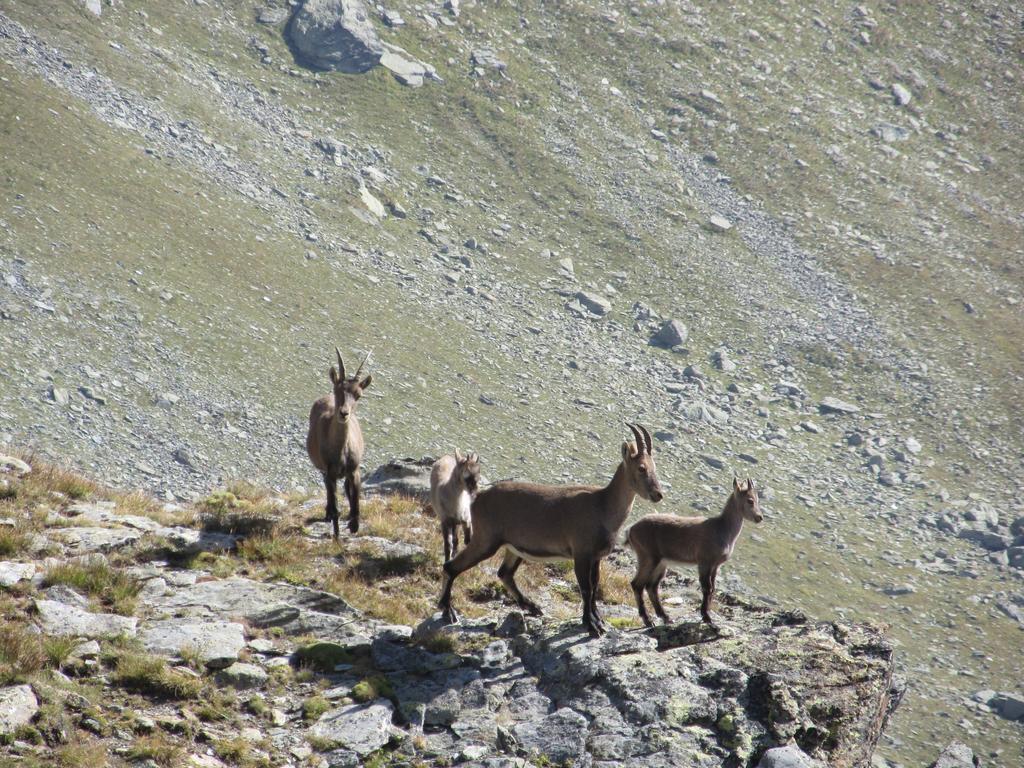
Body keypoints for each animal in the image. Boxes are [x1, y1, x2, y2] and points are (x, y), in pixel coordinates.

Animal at [307, 350, 372, 536]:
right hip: (324, 470)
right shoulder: (330, 472)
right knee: (328, 489)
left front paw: (354, 524)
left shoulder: (354, 470)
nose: (344, 413)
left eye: (358, 395)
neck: (341, 450)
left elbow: (356, 501)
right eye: (338, 390)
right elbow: (336, 507)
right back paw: (328, 513)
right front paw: (336, 535)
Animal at [438, 423, 663, 638]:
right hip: (485, 541)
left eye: (654, 466)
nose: (658, 494)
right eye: (641, 468)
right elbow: (586, 588)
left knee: (504, 573)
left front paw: (597, 620)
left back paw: (533, 607)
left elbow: (594, 586)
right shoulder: (581, 554)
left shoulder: (596, 557)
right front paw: (592, 626)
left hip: (513, 547)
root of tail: (478, 498)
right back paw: (447, 611)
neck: (603, 505)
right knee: (451, 567)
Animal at [622, 481, 761, 630]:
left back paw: (666, 617)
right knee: (637, 584)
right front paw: (707, 617)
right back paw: (648, 620)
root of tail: (631, 529)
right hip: (648, 557)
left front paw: (707, 615)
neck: (722, 528)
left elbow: (713, 588)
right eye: (750, 500)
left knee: (651, 586)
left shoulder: (715, 565)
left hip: (661, 562)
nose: (759, 517)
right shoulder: (704, 562)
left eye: (757, 499)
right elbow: (707, 588)